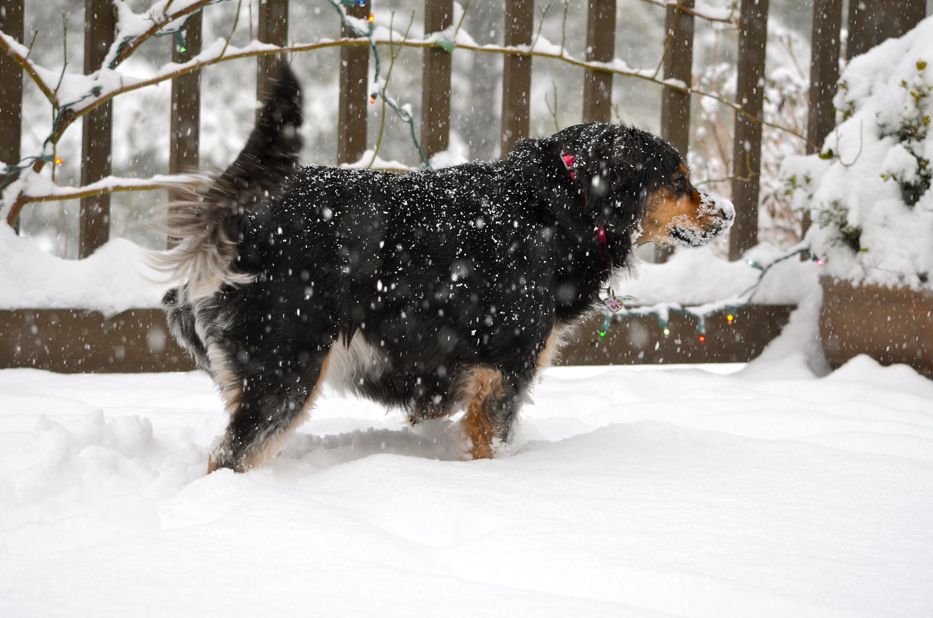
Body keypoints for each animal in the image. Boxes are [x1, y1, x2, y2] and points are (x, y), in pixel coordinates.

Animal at [157, 62, 732, 472]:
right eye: (678, 180)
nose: (725, 213)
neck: (562, 207)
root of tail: (235, 217)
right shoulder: (504, 372)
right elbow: (491, 445)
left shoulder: (442, 372)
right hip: (286, 370)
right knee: (227, 458)